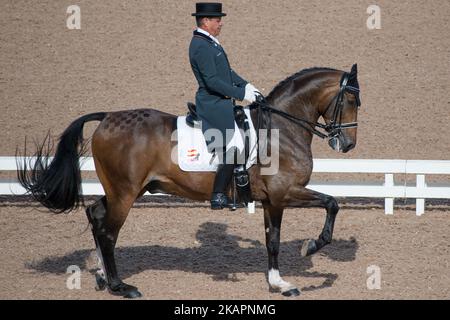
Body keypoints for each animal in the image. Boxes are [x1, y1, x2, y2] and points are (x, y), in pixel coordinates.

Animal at [17, 64, 360, 298]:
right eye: (351, 101)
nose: (347, 144)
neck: (281, 129)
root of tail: (107, 117)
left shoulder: (270, 200)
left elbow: (272, 240)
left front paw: (279, 282)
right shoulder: (284, 194)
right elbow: (331, 203)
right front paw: (311, 247)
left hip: (124, 190)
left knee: (95, 214)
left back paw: (102, 275)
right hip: (125, 193)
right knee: (108, 232)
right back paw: (120, 286)